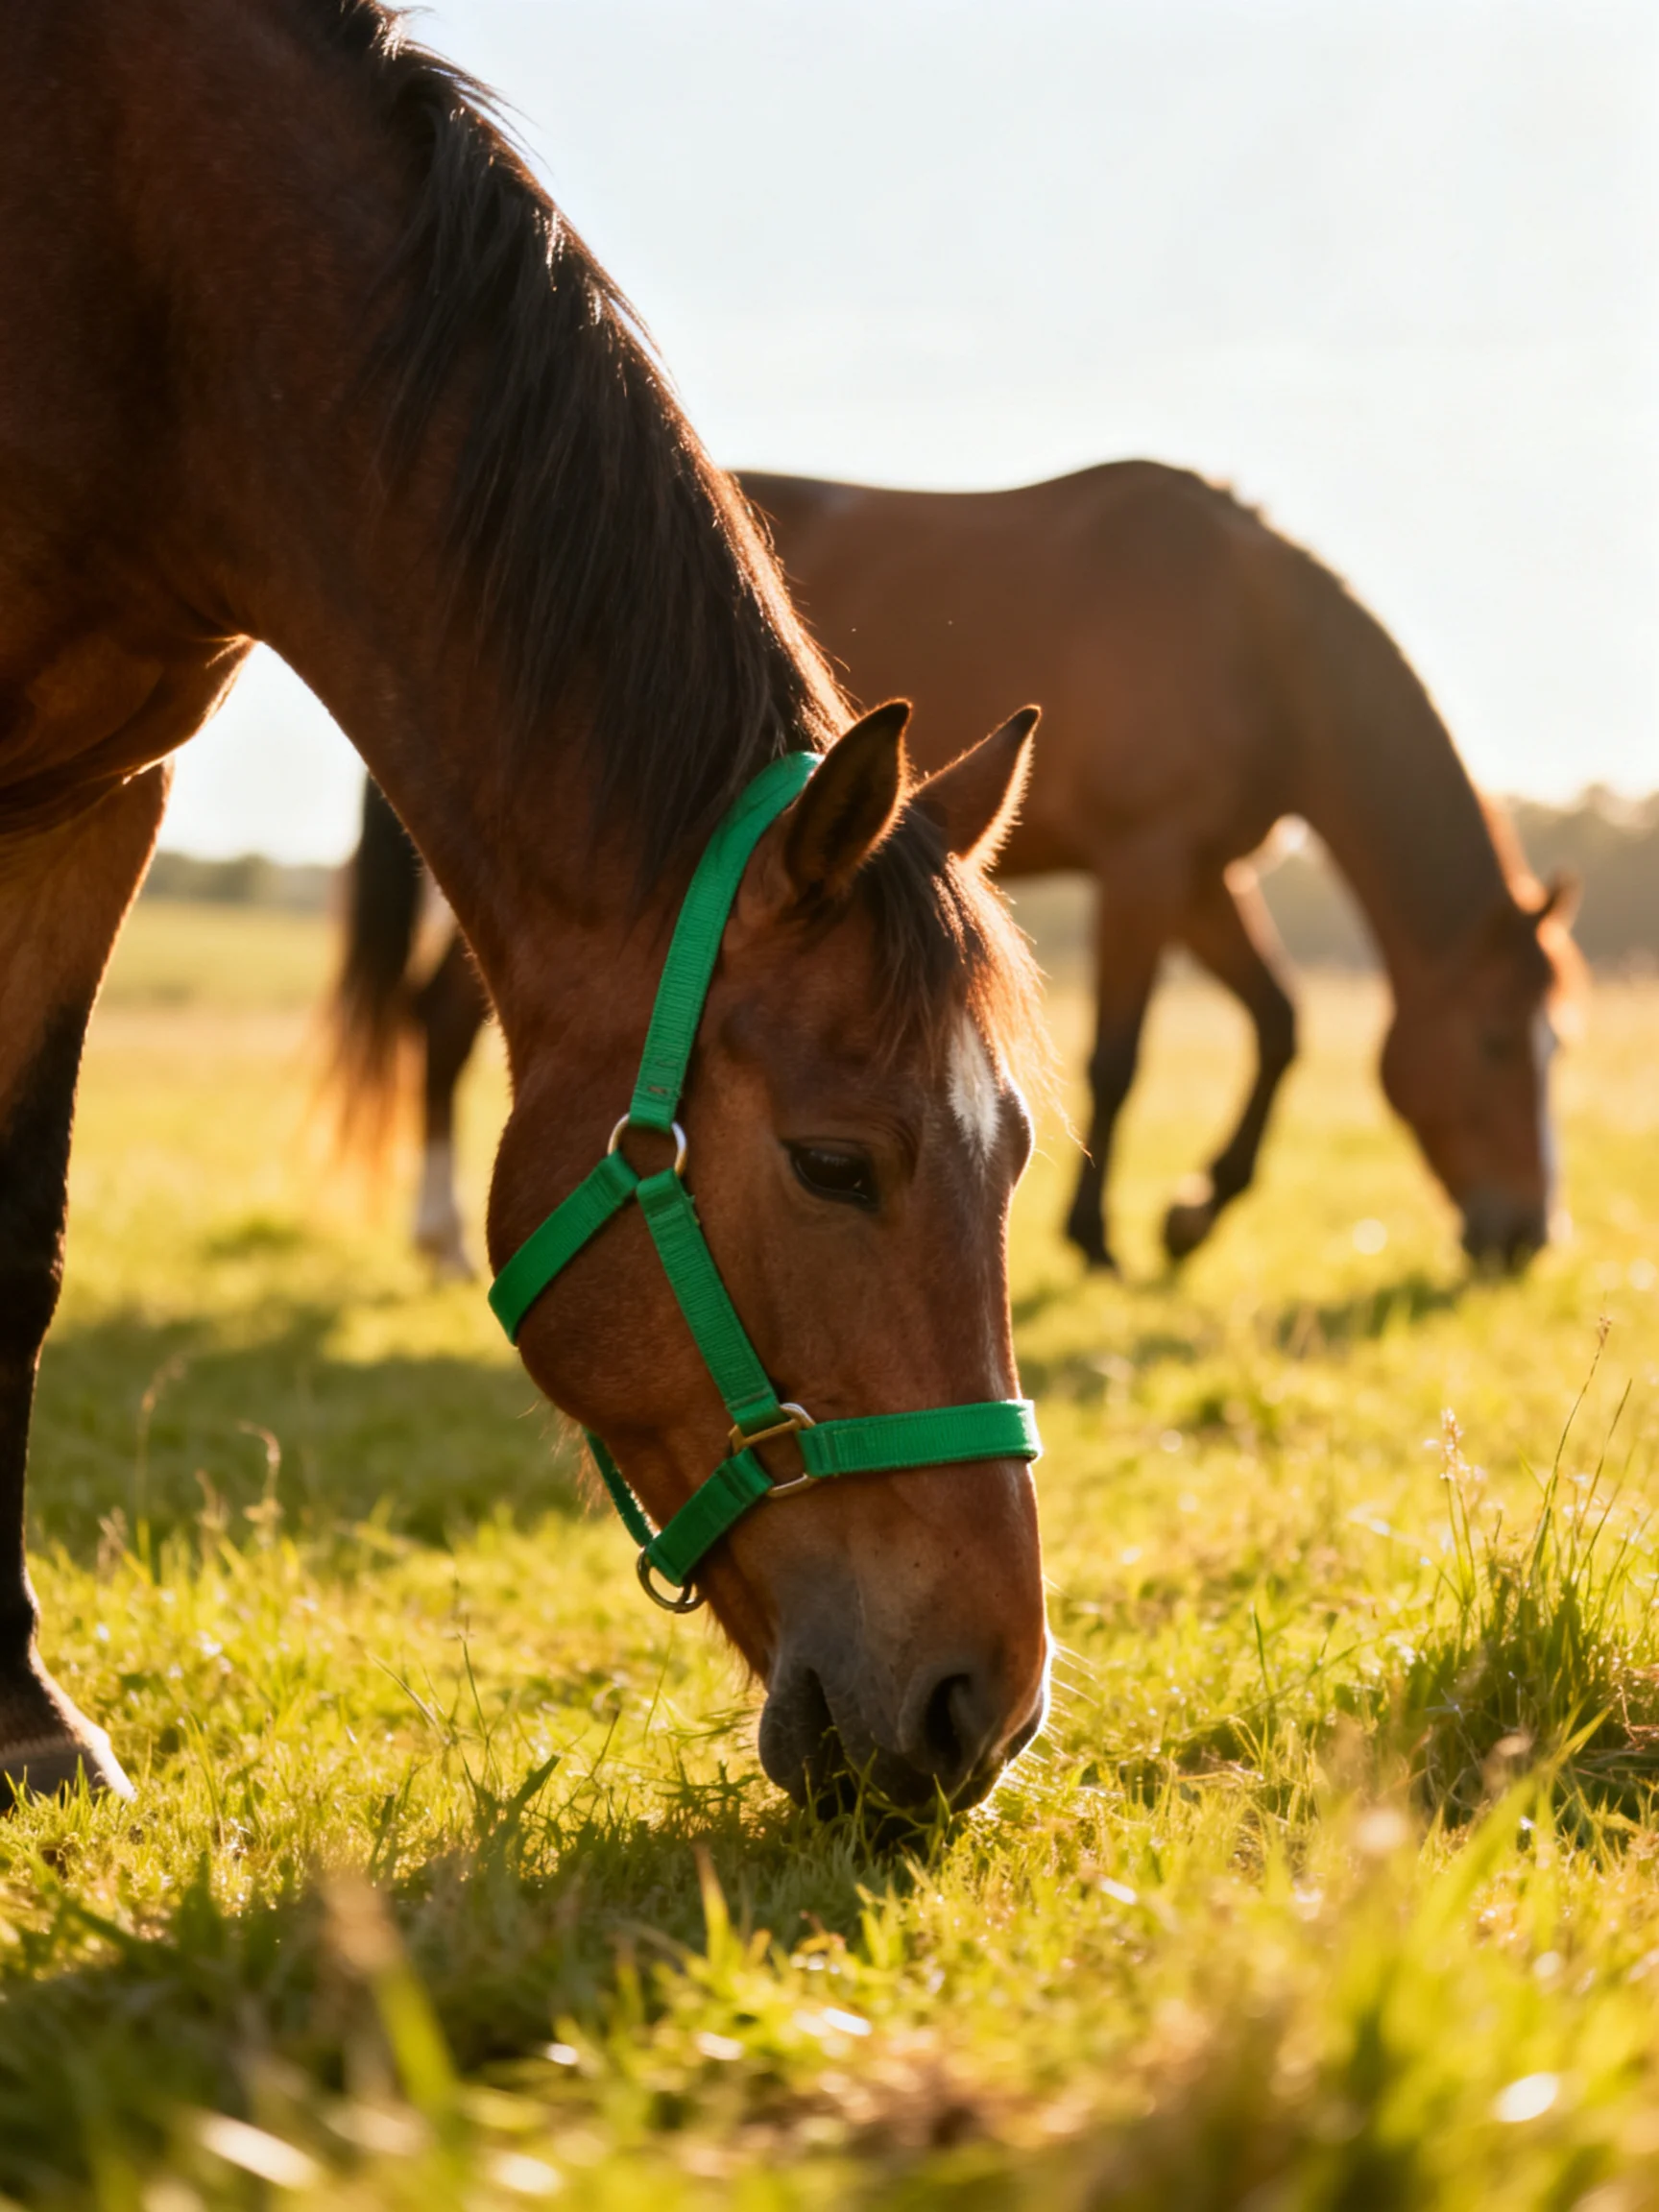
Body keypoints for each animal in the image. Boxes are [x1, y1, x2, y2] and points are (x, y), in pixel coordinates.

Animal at [0, 0, 1054, 1814]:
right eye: (833, 1164)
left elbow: (18, 1243)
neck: (147, 268)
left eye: (1018, 1159)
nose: (981, 1708)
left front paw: (20, 1706)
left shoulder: (98, 798)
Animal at [344, 461, 1583, 1281]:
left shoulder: (1203, 874)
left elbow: (1277, 1025)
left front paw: (1191, 1213)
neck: (1255, 637)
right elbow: (1121, 1055)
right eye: (1491, 1043)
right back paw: (442, 1241)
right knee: (439, 1019)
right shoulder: (1147, 862)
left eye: (1555, 1047)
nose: (1528, 1233)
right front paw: (1102, 1238)